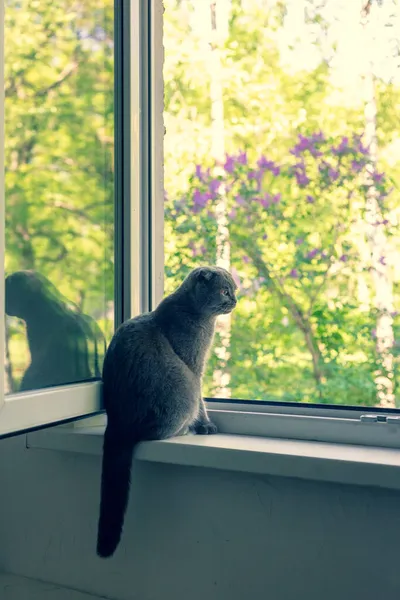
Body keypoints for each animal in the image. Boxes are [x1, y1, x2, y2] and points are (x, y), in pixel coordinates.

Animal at [95, 268, 236, 556]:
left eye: (233, 290)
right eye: (224, 291)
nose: (236, 300)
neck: (194, 313)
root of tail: (116, 423)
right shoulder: (195, 367)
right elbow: (202, 401)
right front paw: (205, 425)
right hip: (184, 386)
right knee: (158, 432)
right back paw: (184, 430)